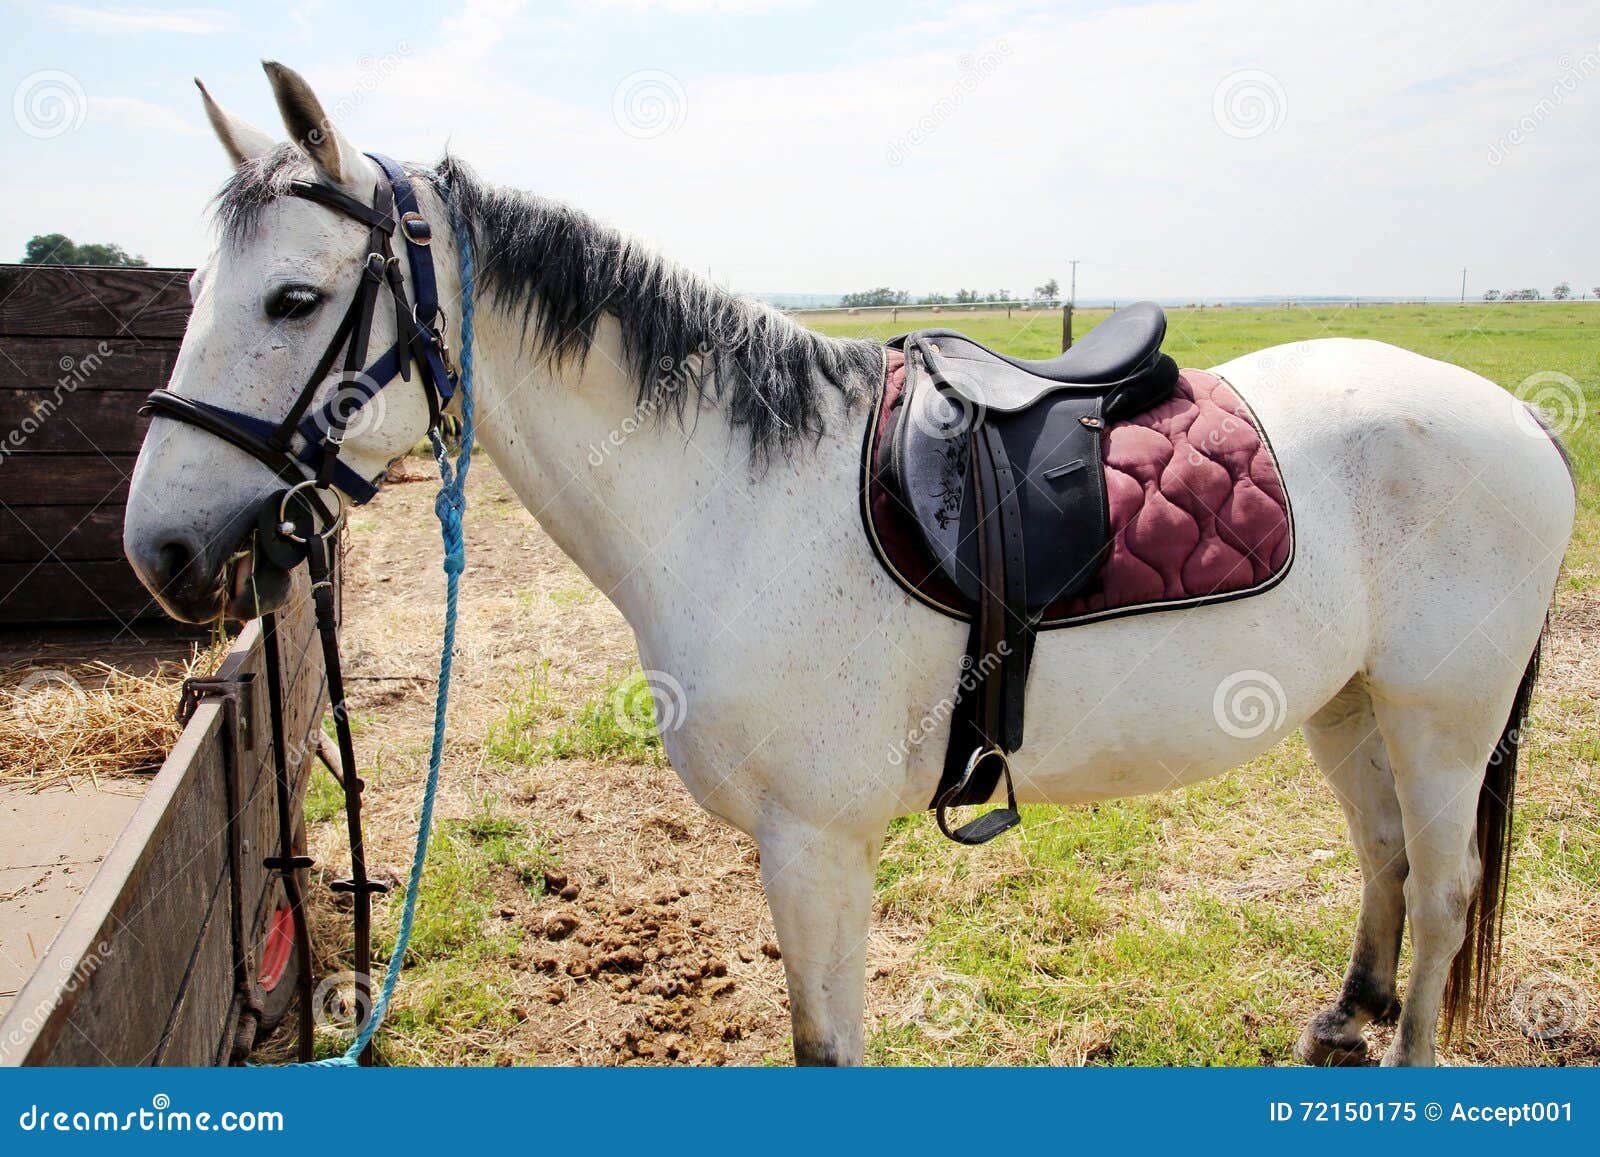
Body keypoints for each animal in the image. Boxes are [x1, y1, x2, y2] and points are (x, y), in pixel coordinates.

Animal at [123, 62, 1575, 1067]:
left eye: (295, 299)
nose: (162, 549)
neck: (734, 494)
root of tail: (1520, 417)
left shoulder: (815, 845)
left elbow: (828, 1047)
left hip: (1443, 717)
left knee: (1446, 890)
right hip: (1345, 701)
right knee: (1386, 859)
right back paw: (1344, 1017)